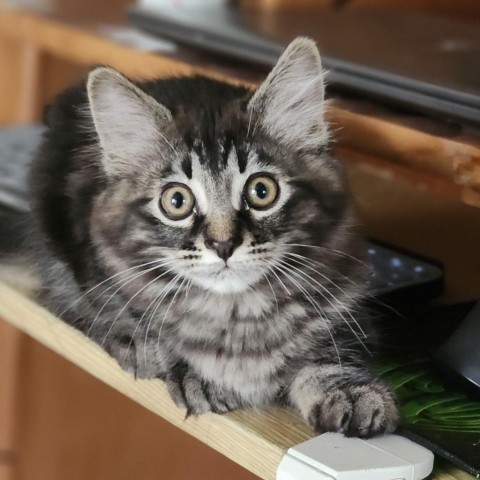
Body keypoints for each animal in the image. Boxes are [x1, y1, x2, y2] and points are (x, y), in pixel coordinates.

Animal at [28, 37, 400, 436]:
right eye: (176, 201)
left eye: (261, 191)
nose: (223, 245)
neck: (238, 313)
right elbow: (134, 318)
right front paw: (197, 374)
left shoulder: (346, 290)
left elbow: (333, 350)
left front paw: (352, 391)